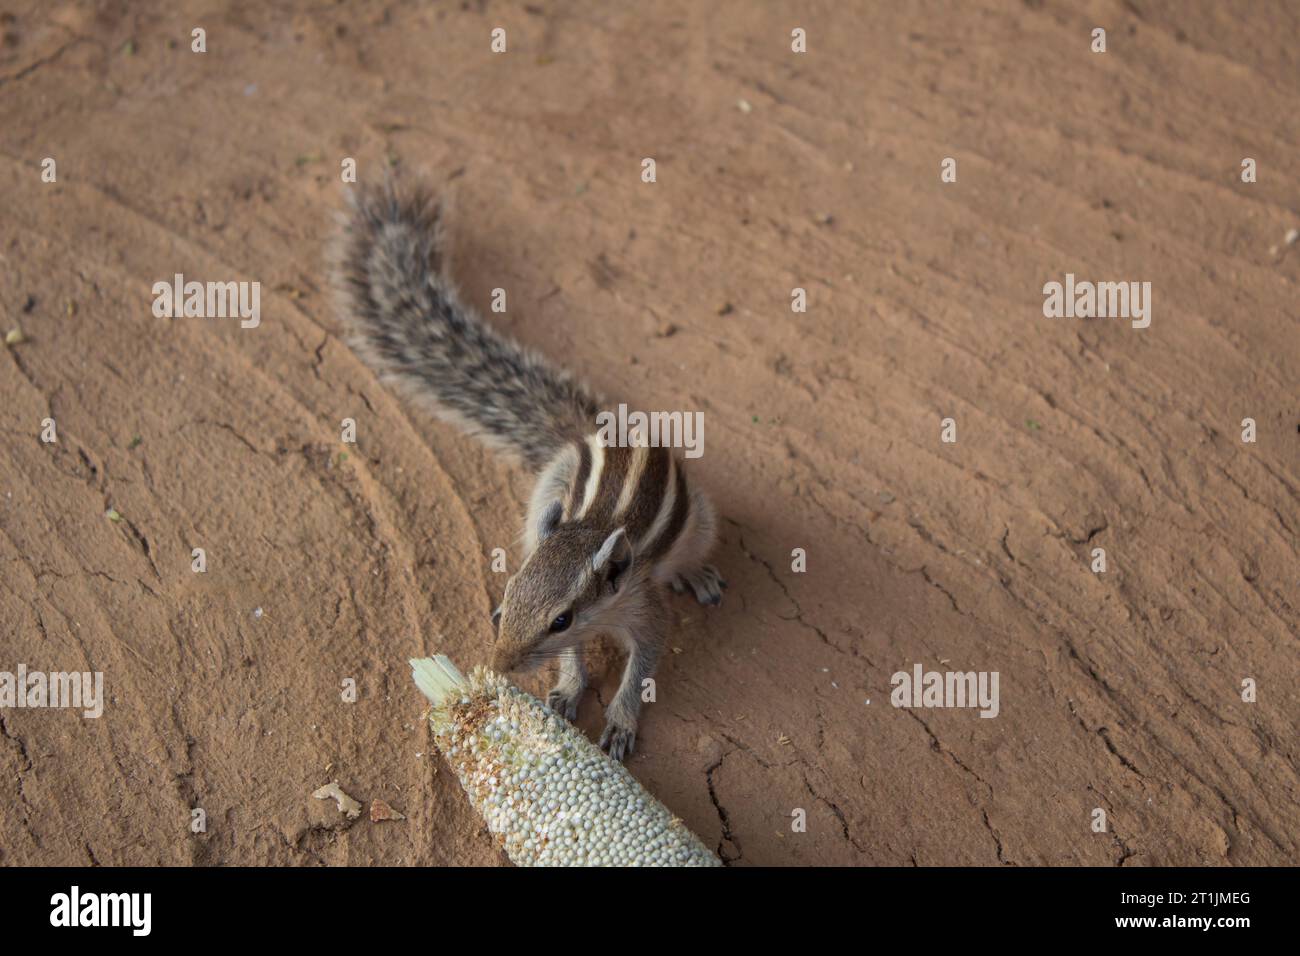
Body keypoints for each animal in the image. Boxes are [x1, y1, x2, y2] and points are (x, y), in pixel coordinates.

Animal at [333, 179, 724, 760]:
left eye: (561, 618)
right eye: (513, 589)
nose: (498, 665)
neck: (590, 533)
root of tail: (593, 428)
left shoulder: (647, 612)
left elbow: (642, 669)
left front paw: (621, 721)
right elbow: (574, 660)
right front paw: (567, 689)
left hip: (699, 519)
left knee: (692, 551)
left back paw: (696, 573)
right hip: (548, 490)